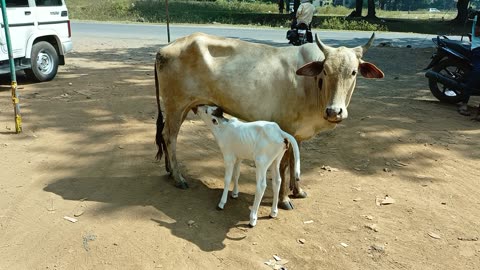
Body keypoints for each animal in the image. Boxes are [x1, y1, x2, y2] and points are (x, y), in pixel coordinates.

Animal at [156, 31, 384, 209]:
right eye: (325, 71)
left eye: (353, 72)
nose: (334, 111)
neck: (311, 86)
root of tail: (164, 49)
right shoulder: (287, 129)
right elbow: (283, 166)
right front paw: (284, 200)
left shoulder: (298, 133)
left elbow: (295, 161)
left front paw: (298, 190)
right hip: (176, 105)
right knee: (169, 136)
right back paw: (178, 178)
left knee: (165, 135)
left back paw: (169, 171)